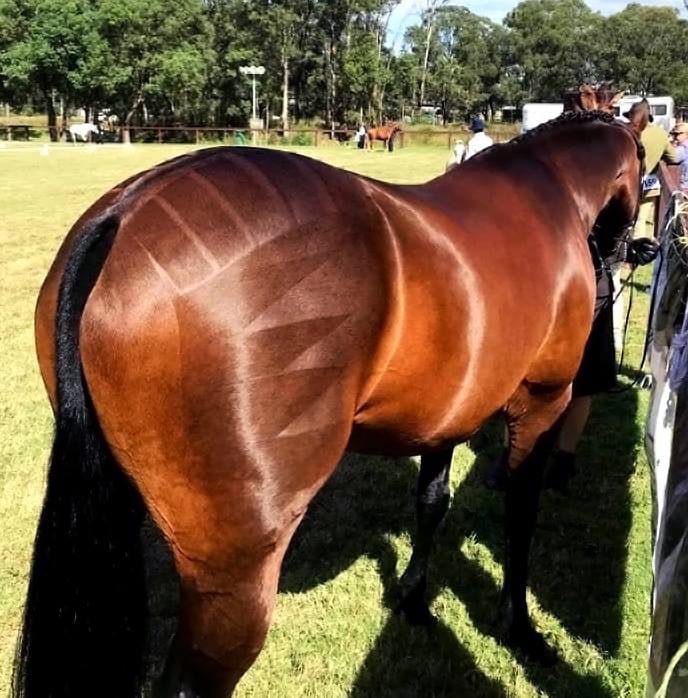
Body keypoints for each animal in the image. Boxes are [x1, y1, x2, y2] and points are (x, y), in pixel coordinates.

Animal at [15, 91, 646, 698]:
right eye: (645, 159)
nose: (628, 251)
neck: (544, 190)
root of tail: (125, 213)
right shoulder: (543, 401)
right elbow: (521, 511)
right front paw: (518, 625)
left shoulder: (448, 413)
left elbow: (432, 501)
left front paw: (414, 598)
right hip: (235, 576)